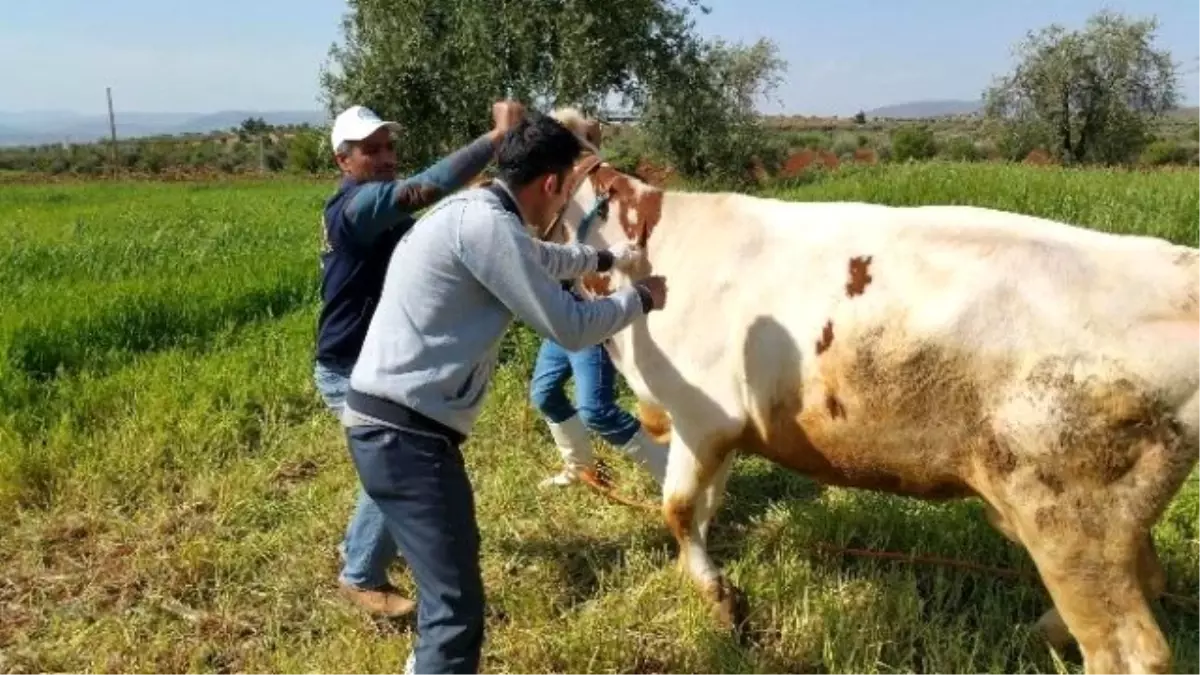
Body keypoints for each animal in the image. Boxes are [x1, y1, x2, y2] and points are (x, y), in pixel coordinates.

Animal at [540, 106, 1200, 672]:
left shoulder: (703, 416)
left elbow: (676, 508)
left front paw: (722, 600)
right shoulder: (710, 428)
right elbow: (702, 506)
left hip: (1068, 518)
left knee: (1130, 649)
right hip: (1111, 515)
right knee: (1150, 580)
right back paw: (1038, 631)